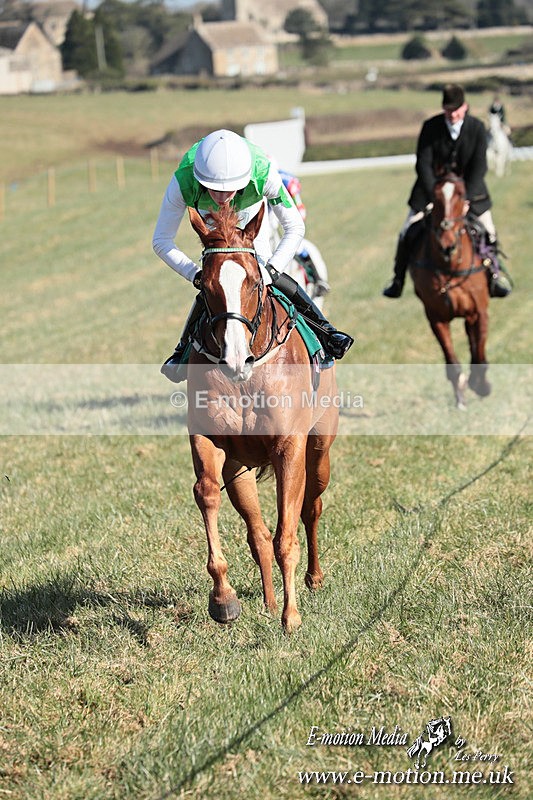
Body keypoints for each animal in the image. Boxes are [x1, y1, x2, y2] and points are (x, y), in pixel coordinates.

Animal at [185, 202, 339, 633]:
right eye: (205, 286)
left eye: (254, 283)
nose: (235, 357)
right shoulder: (210, 441)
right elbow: (207, 493)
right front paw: (223, 598)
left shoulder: (289, 448)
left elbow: (287, 533)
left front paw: (292, 616)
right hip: (240, 469)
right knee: (257, 535)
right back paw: (268, 602)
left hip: (319, 451)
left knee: (311, 507)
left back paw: (313, 579)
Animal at [409, 172, 491, 409]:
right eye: (435, 198)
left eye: (461, 194)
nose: (447, 246)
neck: (450, 266)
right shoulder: (436, 318)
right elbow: (452, 361)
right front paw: (460, 397)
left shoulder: (480, 312)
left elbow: (480, 355)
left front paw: (481, 386)